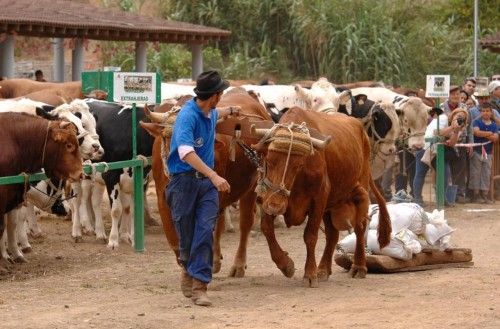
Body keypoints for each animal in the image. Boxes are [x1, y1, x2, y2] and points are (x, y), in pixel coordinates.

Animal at [250, 108, 390, 288]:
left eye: (298, 165)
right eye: (269, 159)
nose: (275, 206)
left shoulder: (318, 199)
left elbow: (310, 236)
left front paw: (309, 274)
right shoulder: (268, 196)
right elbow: (267, 228)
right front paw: (285, 264)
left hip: (360, 190)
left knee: (359, 227)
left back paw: (358, 267)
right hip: (330, 206)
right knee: (332, 234)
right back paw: (323, 269)